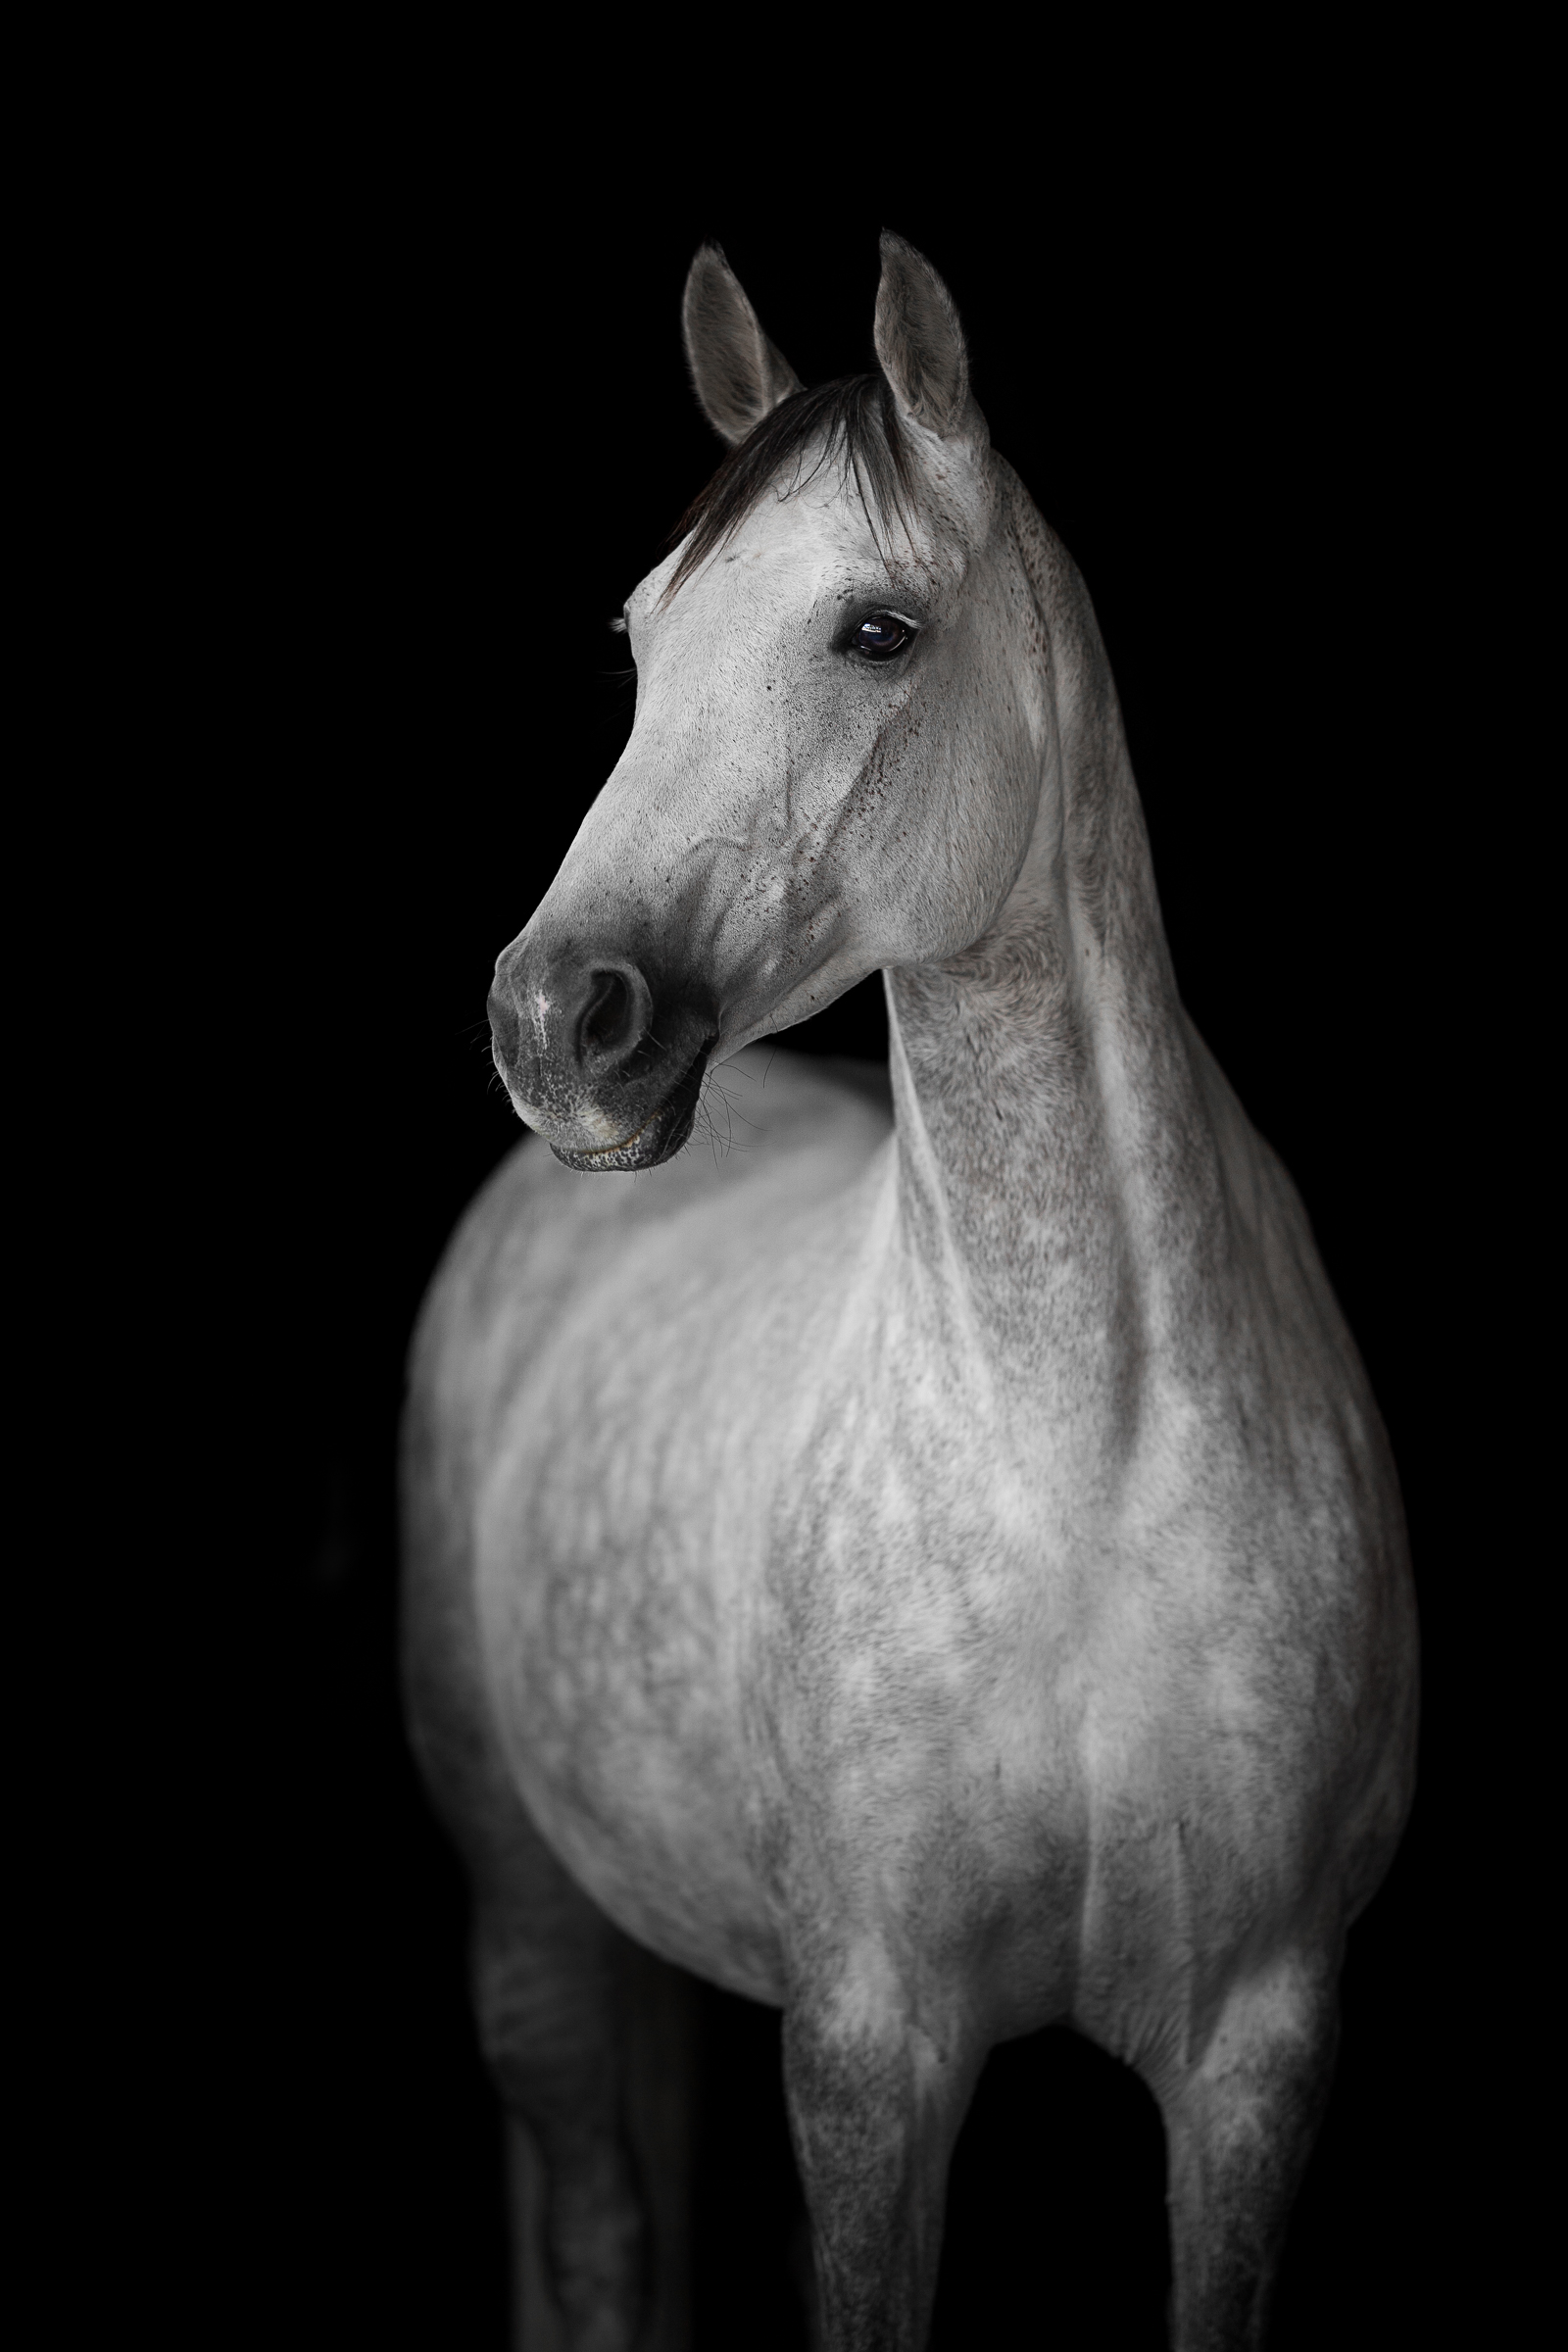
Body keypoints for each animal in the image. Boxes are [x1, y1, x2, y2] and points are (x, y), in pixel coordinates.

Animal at [401, 233, 1418, 2351]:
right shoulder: (873, 2042)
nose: (554, 1023)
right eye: (639, 641)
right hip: (530, 1918)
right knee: (598, 2231)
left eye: (875, 632)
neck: (1080, 1452)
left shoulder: (1257, 2057)